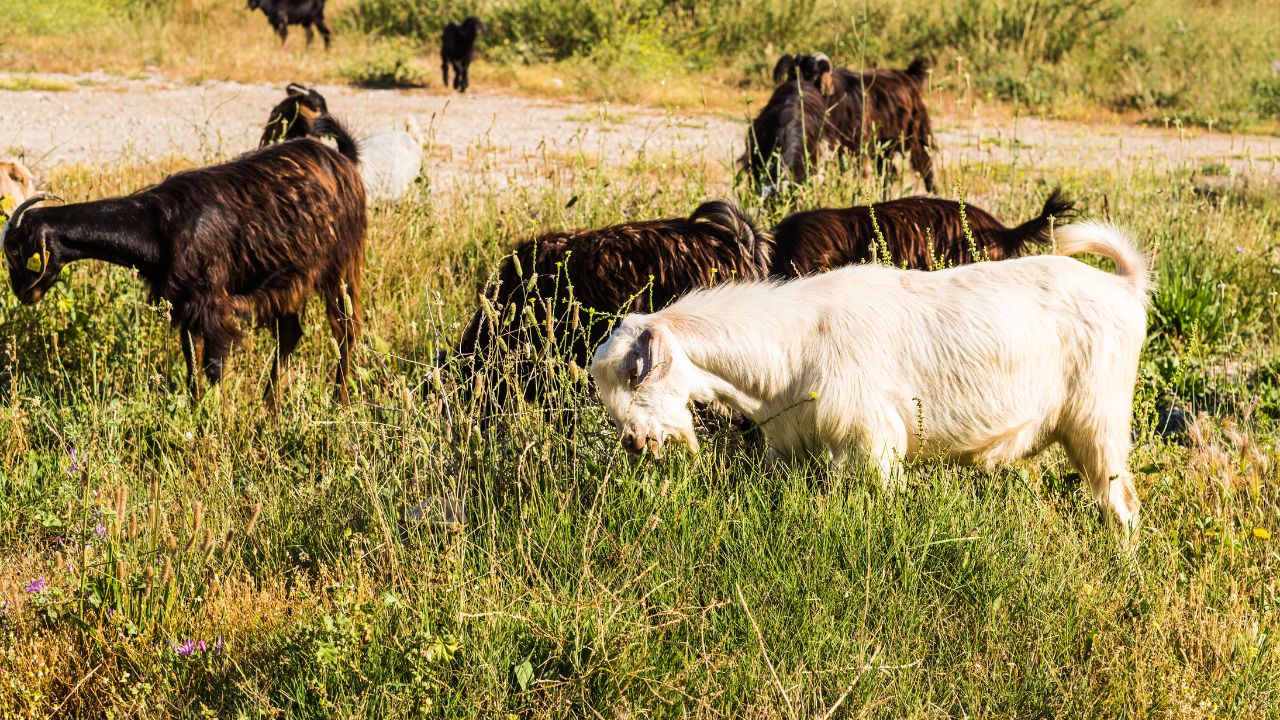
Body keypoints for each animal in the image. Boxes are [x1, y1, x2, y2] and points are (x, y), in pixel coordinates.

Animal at [2, 117, 366, 403]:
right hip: (285, 278)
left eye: (19, 250)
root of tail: (343, 159)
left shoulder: (212, 305)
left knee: (345, 328)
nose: (24, 294)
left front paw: (218, 420)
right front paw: (196, 410)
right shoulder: (184, 303)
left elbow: (214, 366)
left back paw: (339, 401)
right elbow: (191, 363)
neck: (157, 226)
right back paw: (268, 408)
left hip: (341, 265)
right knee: (290, 334)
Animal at [590, 221, 1149, 537]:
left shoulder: (874, 442)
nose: (635, 443)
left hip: (1099, 422)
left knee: (1122, 504)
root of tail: (1125, 287)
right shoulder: (788, 446)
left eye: (636, 373)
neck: (795, 344)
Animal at [775, 53, 936, 192]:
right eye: (792, 74)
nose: (799, 91)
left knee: (925, 166)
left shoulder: (859, 146)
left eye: (813, 74)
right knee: (889, 174)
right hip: (883, 147)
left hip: (918, 136)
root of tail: (909, 75)